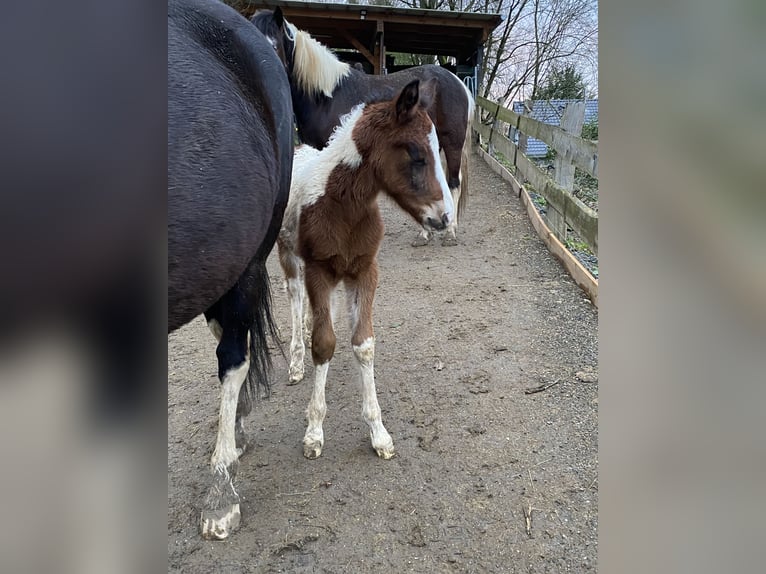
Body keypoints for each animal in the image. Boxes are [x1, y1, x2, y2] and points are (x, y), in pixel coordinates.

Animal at [252, 8, 474, 248]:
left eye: (274, 46)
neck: (326, 97)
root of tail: (458, 82)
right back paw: (425, 233)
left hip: (452, 143)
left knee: (454, 183)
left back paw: (450, 232)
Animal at [280, 80, 452, 460]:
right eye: (417, 155)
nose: (445, 217)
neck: (342, 207)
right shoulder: (319, 271)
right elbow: (324, 344)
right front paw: (314, 432)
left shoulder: (364, 272)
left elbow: (363, 344)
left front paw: (379, 433)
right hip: (289, 255)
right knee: (295, 297)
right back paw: (296, 362)